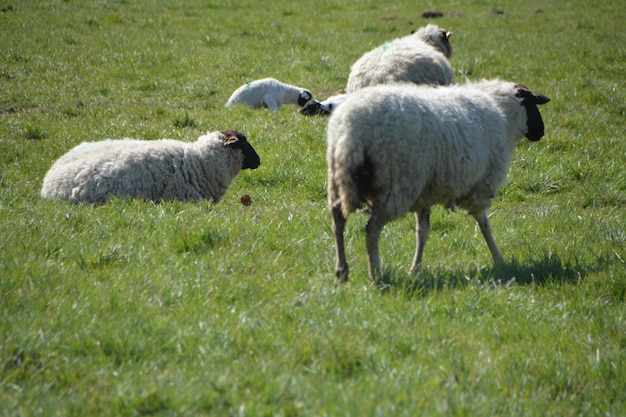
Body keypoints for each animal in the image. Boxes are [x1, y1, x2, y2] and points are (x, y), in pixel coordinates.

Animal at [324, 79, 548, 282]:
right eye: (532, 103)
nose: (542, 131)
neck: (503, 113)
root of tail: (351, 130)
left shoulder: (425, 193)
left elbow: (422, 232)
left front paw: (415, 269)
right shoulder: (480, 186)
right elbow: (484, 224)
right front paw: (499, 260)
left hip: (339, 178)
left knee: (338, 220)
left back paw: (341, 271)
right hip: (396, 184)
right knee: (371, 229)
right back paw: (376, 274)